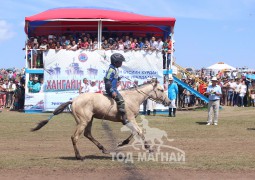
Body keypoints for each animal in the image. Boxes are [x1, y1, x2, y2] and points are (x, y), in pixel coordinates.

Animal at [32, 81, 171, 160]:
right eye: (161, 90)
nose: (169, 102)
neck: (132, 98)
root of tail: (74, 100)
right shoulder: (130, 118)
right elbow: (140, 132)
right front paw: (149, 148)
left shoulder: (128, 120)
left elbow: (135, 132)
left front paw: (122, 143)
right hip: (83, 121)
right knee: (74, 137)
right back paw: (79, 156)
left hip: (89, 120)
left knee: (88, 134)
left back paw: (103, 148)